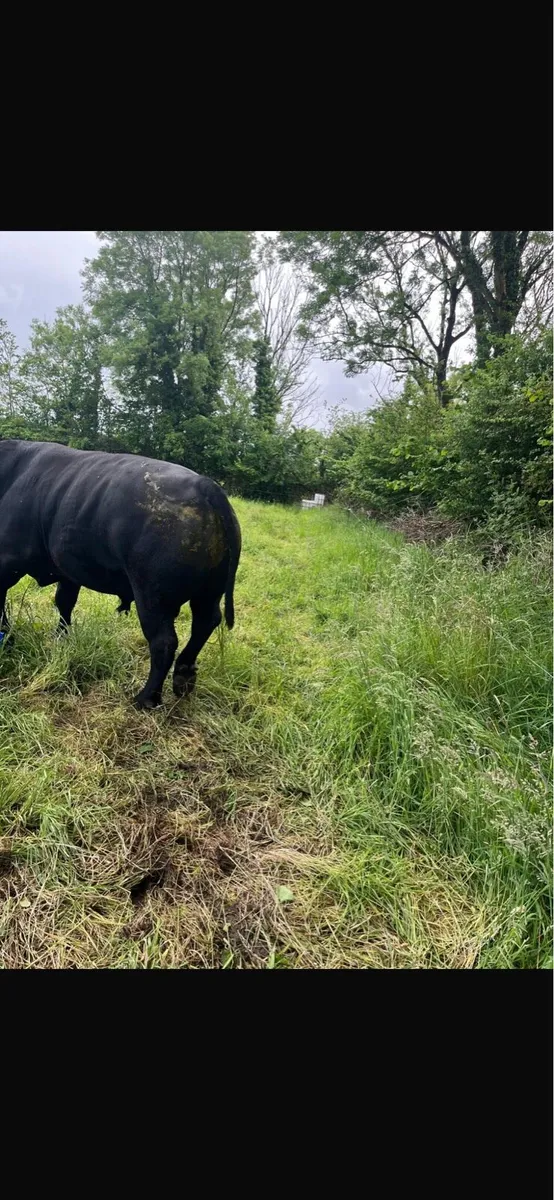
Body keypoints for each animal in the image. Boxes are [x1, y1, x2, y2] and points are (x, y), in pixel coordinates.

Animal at [0, 440, 241, 709]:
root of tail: (203, 484)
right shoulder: (68, 571)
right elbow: (64, 603)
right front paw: (61, 639)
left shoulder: (6, 563)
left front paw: (8, 641)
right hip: (208, 592)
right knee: (205, 623)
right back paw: (183, 678)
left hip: (152, 596)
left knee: (164, 642)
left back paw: (146, 698)